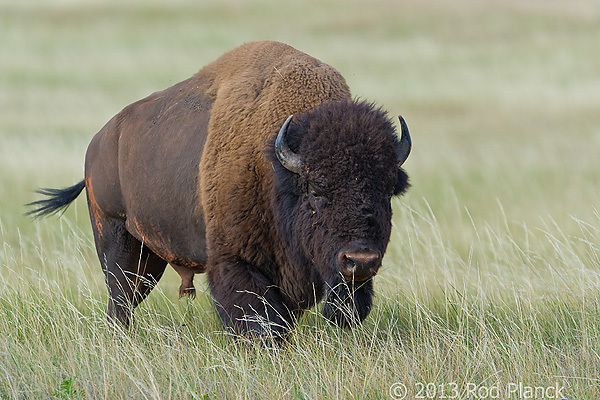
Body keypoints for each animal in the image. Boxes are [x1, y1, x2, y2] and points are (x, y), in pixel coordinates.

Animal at [29, 41, 412, 340]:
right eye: (316, 190)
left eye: (386, 190)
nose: (360, 260)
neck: (275, 166)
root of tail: (100, 141)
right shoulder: (236, 262)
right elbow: (259, 321)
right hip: (115, 235)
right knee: (120, 297)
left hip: (150, 255)